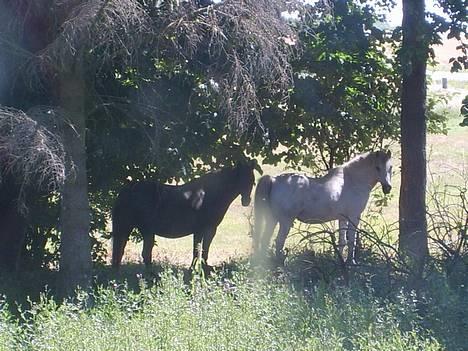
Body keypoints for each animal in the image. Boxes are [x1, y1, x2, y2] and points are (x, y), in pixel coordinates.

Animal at [110, 161, 256, 268]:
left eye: (252, 180)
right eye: (241, 179)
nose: (246, 201)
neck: (208, 195)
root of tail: (126, 191)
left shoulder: (202, 231)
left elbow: (199, 251)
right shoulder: (206, 229)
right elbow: (200, 251)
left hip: (134, 229)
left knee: (123, 253)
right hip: (140, 229)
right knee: (136, 253)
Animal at [254, 151, 394, 264]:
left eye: (390, 167)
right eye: (377, 167)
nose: (388, 188)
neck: (352, 181)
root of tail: (274, 180)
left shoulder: (343, 218)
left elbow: (342, 241)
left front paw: (341, 261)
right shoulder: (354, 217)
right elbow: (351, 240)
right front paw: (351, 262)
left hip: (272, 219)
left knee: (266, 239)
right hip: (285, 221)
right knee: (278, 242)